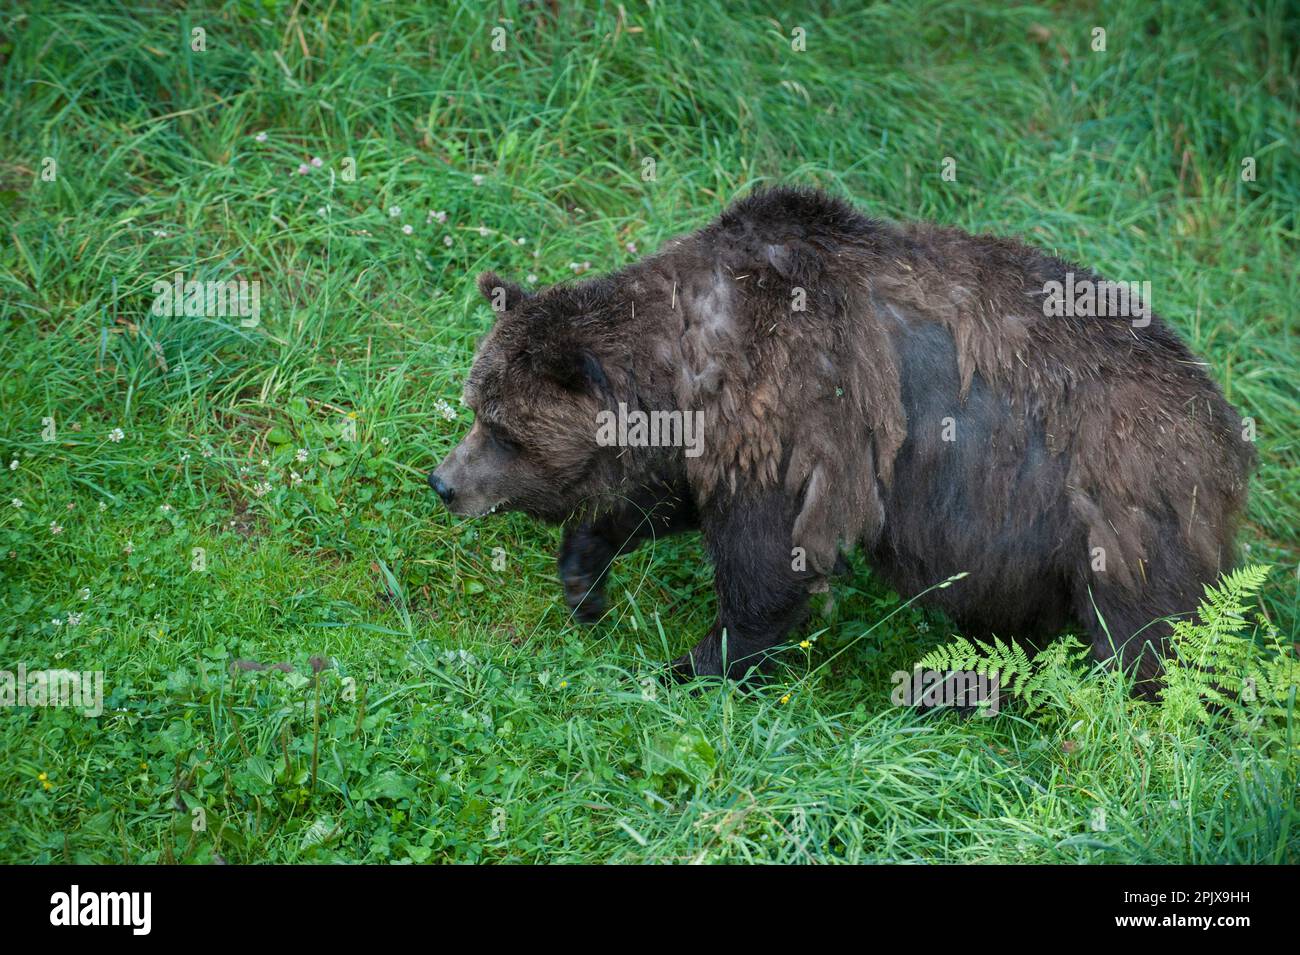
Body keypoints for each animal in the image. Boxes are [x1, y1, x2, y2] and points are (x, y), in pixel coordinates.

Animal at [431, 188, 1253, 696]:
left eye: (500, 428)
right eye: (477, 405)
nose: (444, 483)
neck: (688, 366)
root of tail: (1224, 422)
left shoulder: (798, 421)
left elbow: (770, 567)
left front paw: (691, 667)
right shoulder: (715, 442)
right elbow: (654, 502)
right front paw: (584, 576)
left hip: (1117, 516)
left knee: (1145, 644)